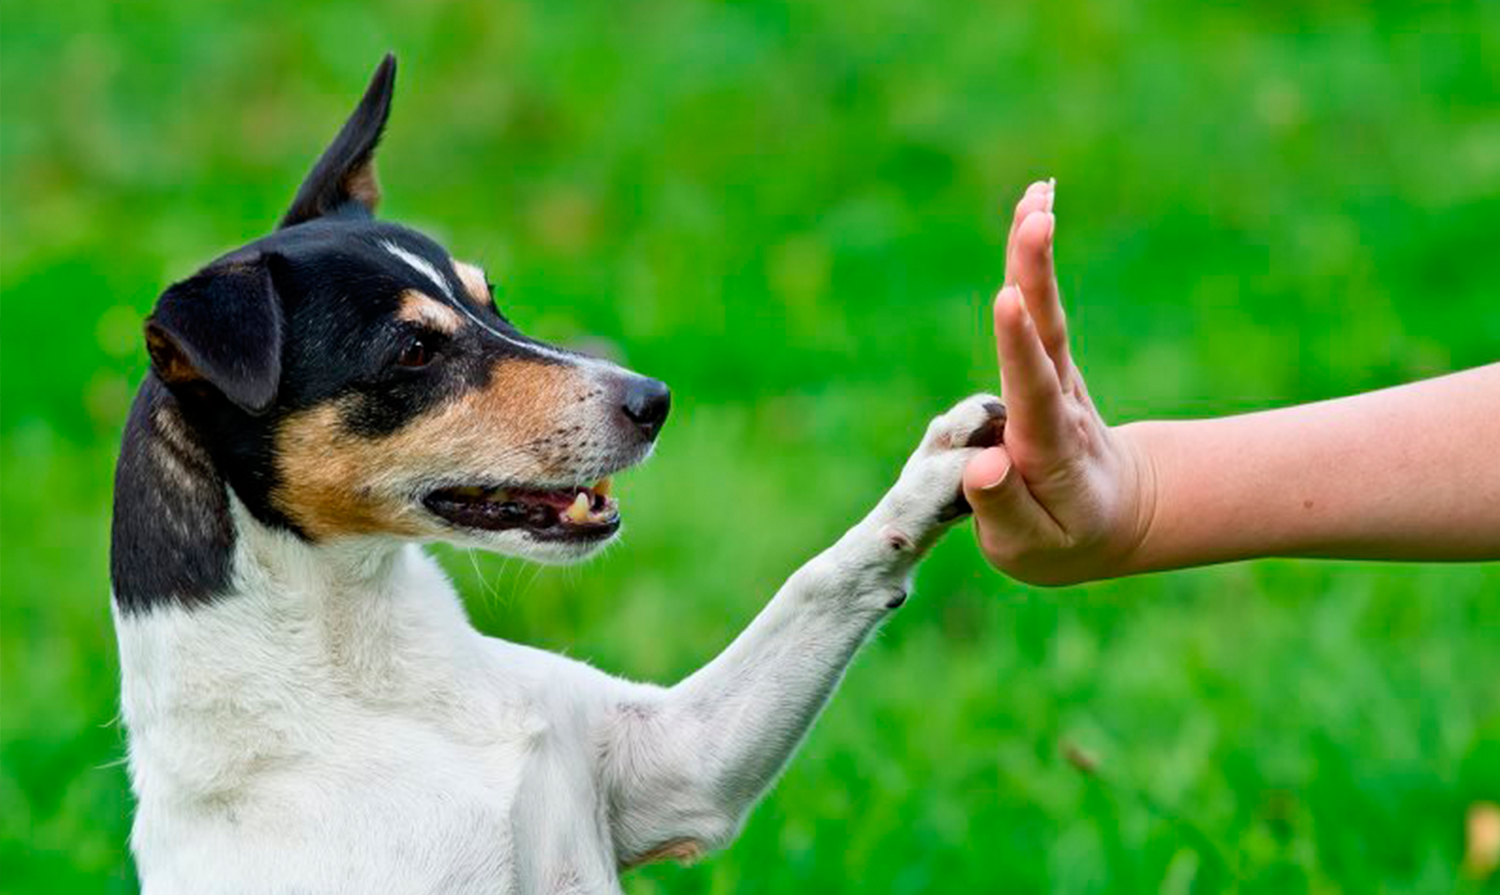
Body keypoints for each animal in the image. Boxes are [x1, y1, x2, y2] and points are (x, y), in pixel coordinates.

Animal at [114, 57, 1008, 893]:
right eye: (413, 350)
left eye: (491, 299)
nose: (654, 400)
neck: (371, 675)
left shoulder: (679, 765)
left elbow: (819, 581)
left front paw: (939, 470)